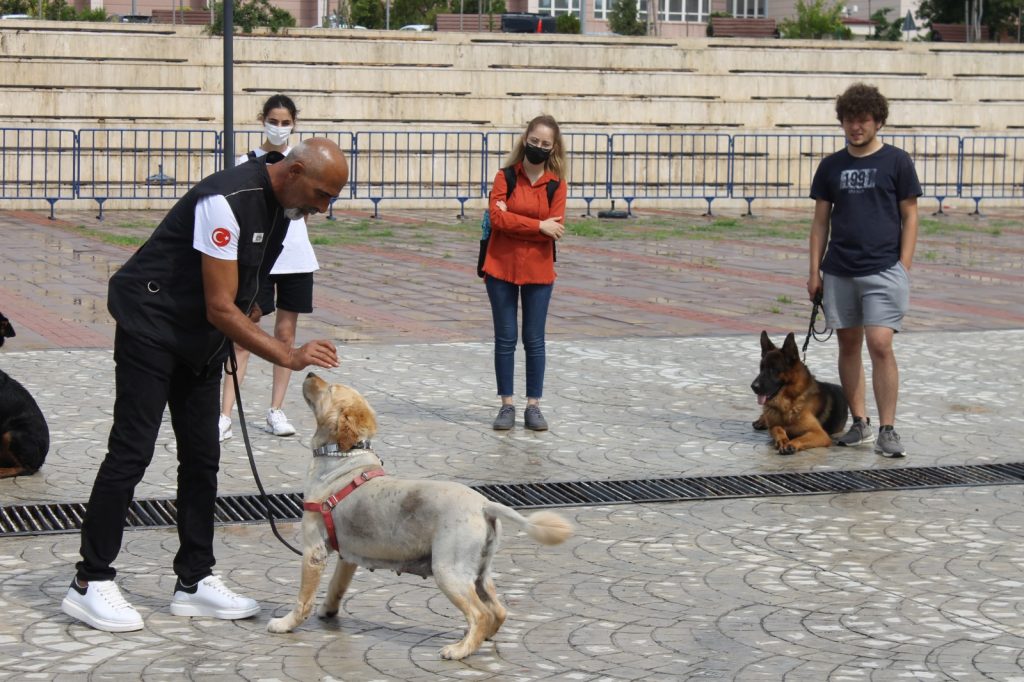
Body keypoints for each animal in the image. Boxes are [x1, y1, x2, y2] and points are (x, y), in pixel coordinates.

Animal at [266, 372, 577, 659]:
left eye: (330, 389)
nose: (309, 372)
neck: (344, 460)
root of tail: (484, 504)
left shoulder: (313, 552)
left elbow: (303, 599)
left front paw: (286, 623)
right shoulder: (347, 556)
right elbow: (336, 587)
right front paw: (328, 610)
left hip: (449, 571)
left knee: (481, 614)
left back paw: (460, 649)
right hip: (479, 573)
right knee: (498, 612)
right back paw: (480, 638)